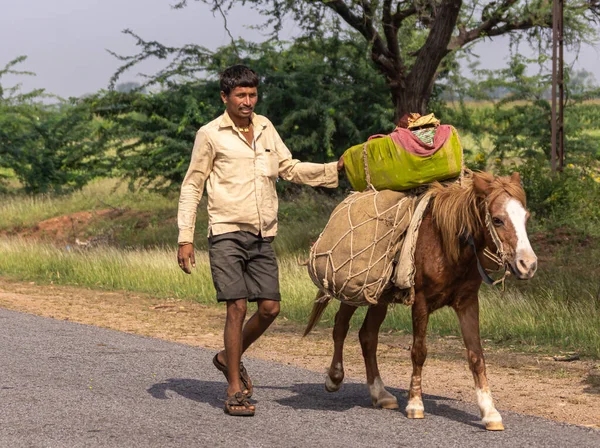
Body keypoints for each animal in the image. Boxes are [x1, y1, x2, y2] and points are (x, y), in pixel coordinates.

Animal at [304, 172, 540, 430]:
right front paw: (415, 404)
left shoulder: (468, 303)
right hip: (357, 290)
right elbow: (419, 352)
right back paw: (334, 378)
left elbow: (476, 356)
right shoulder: (421, 302)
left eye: (526, 217)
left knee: (367, 336)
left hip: (379, 298)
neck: (448, 245)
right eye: (497, 220)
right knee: (340, 326)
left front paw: (490, 412)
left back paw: (380, 393)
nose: (528, 265)